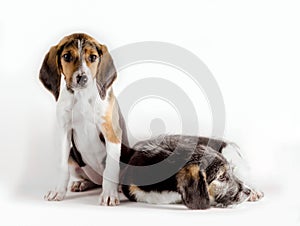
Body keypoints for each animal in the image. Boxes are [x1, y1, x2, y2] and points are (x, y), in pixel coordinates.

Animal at [38, 32, 127, 206]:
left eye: (93, 57)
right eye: (67, 56)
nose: (82, 78)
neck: (81, 96)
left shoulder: (111, 132)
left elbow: (111, 168)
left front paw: (109, 194)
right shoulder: (64, 132)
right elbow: (62, 167)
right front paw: (58, 191)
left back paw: (117, 188)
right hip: (73, 158)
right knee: (92, 180)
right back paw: (82, 183)